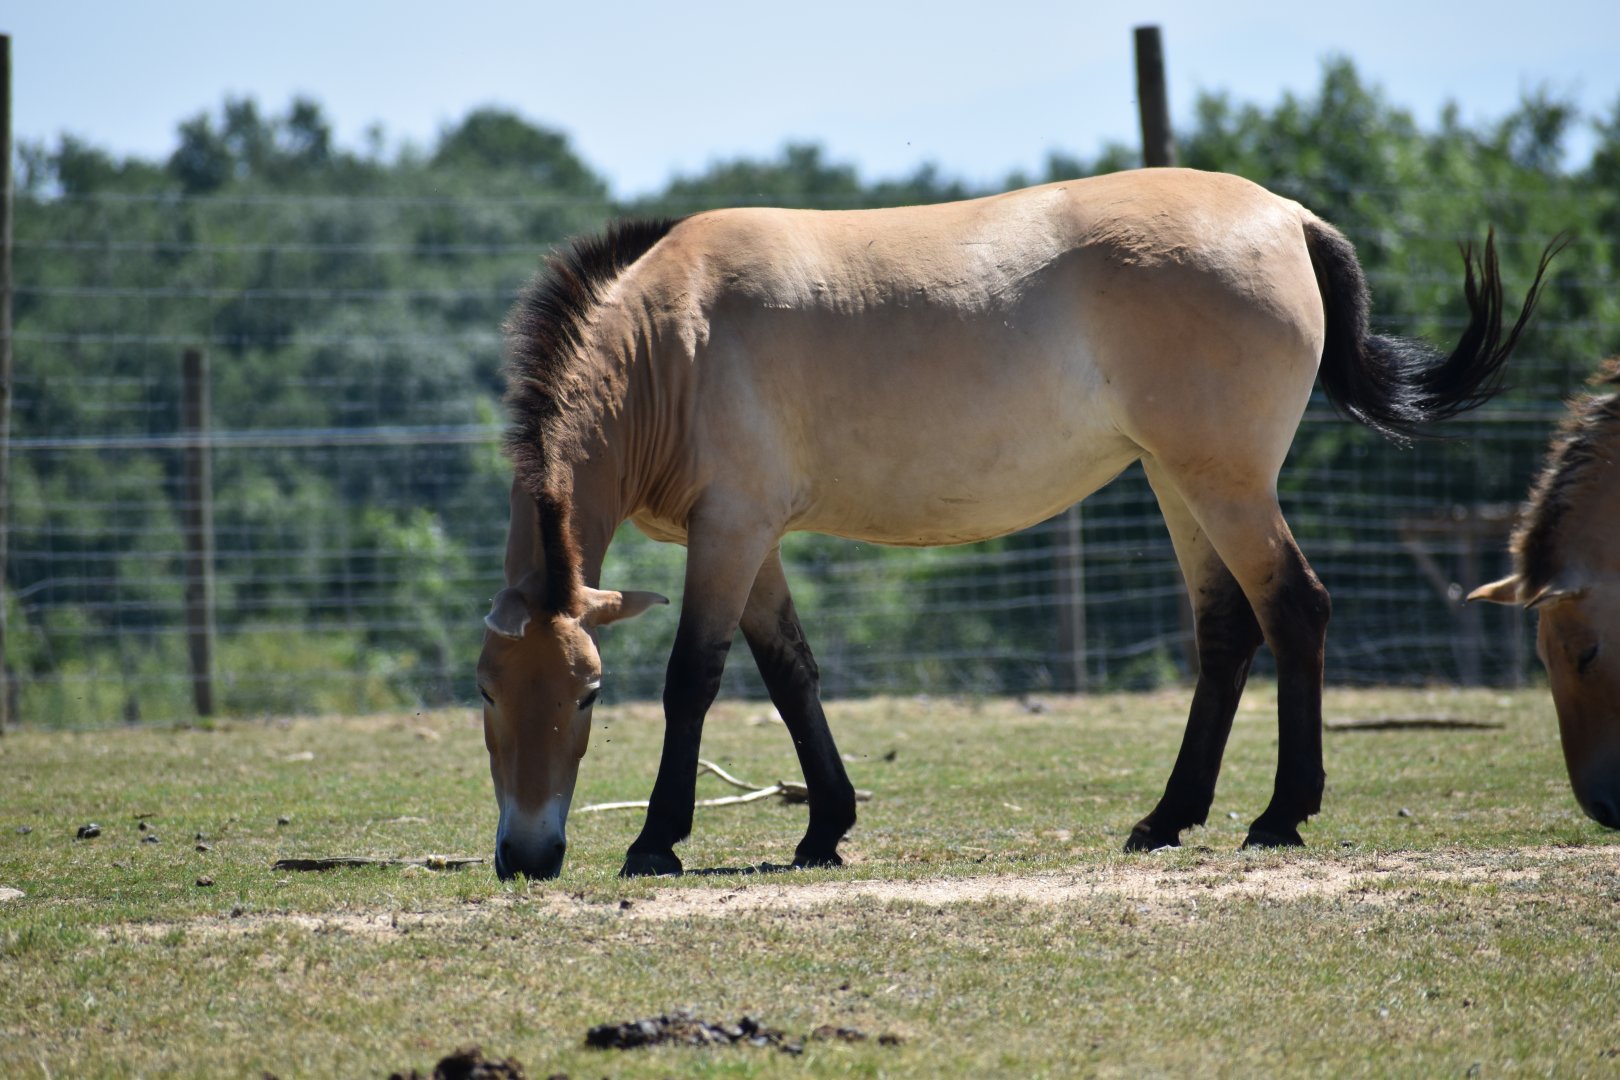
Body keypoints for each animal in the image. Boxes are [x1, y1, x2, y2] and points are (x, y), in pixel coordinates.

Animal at [477, 167, 1557, 880]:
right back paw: (1168, 817)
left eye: (588, 695)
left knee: (1294, 609)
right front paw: (825, 827)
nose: (526, 854)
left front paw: (656, 840)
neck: (673, 344)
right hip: (1180, 482)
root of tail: (1286, 216)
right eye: (488, 694)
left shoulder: (732, 532)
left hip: (1226, 482)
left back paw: (1279, 814)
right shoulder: (755, 542)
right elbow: (792, 674)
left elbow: (693, 681)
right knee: (1225, 629)